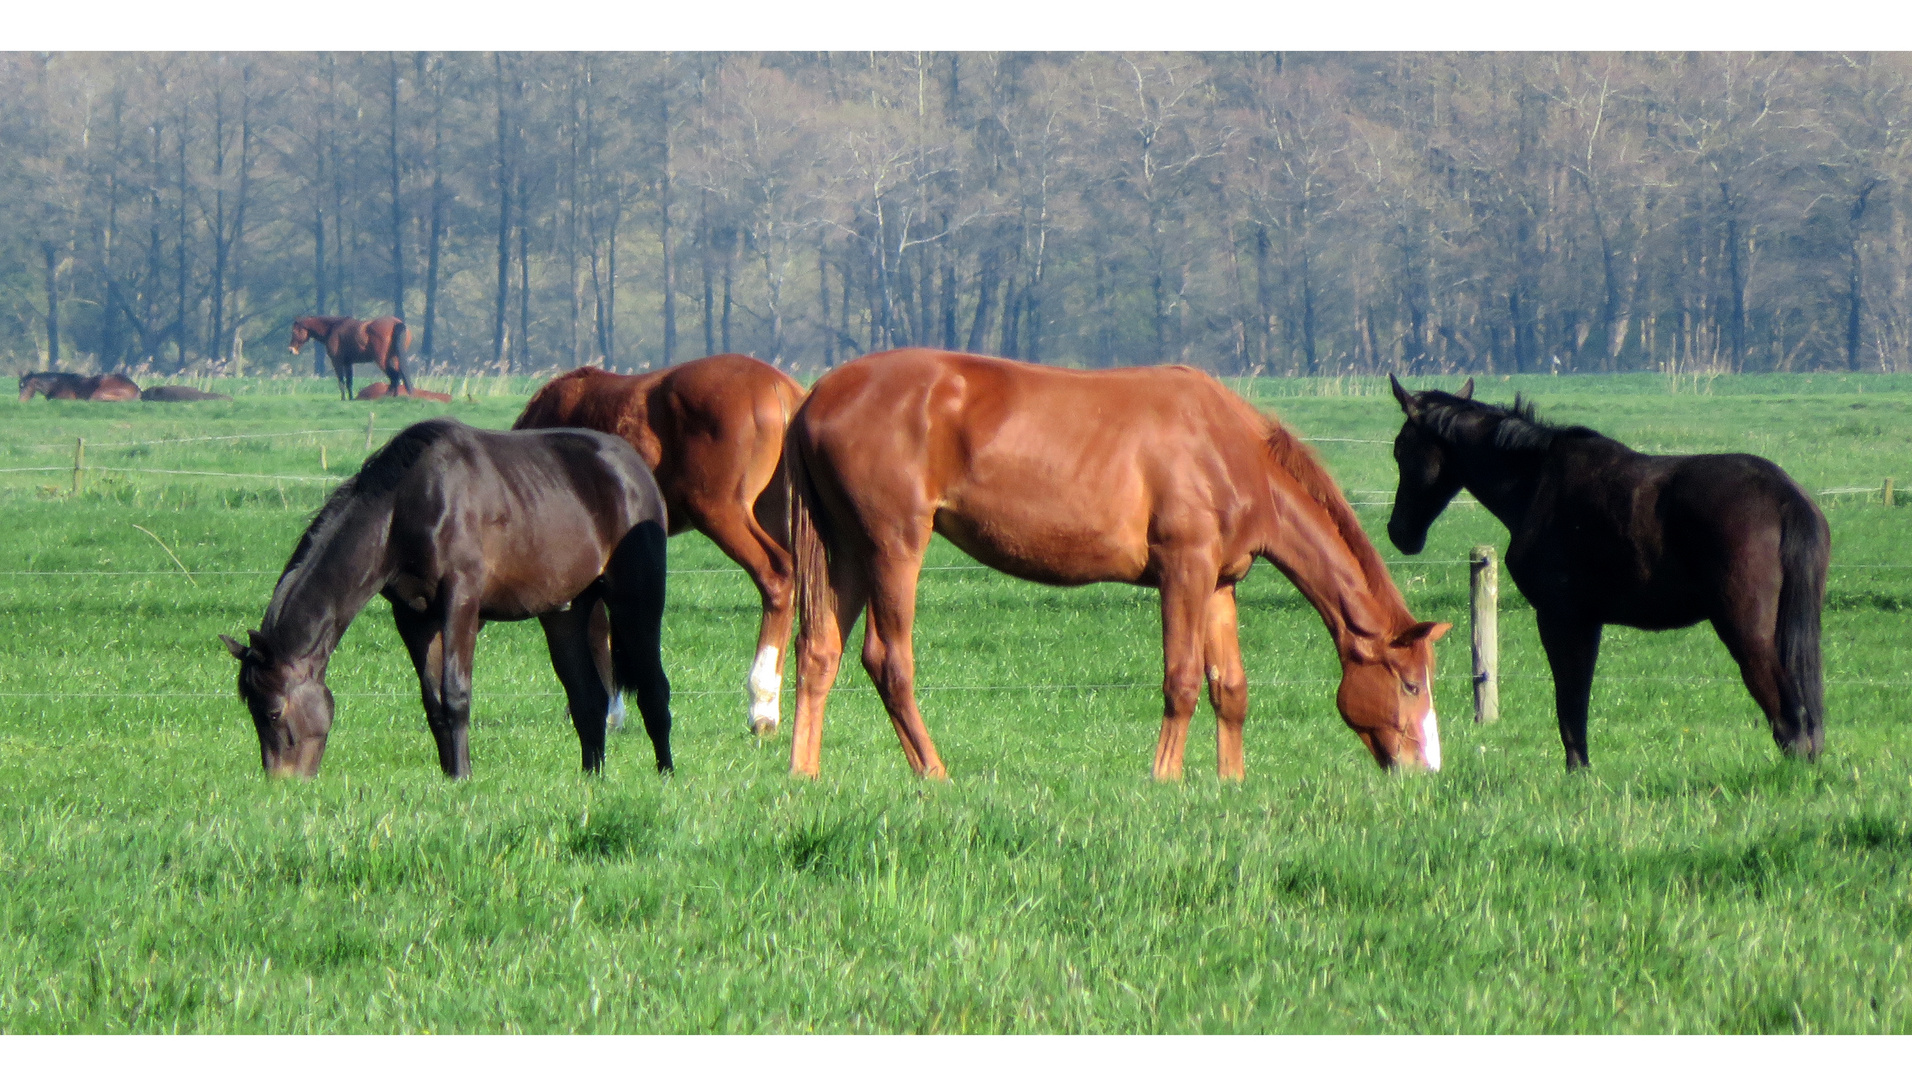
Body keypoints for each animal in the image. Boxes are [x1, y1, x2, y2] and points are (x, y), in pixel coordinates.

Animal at [219, 412, 673, 776]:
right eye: (252, 711)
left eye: (273, 711)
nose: (281, 782)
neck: (404, 506)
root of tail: (633, 466)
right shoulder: (414, 617)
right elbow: (433, 700)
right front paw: (449, 776)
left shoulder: (461, 601)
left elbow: (455, 693)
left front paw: (465, 775)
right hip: (566, 610)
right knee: (588, 697)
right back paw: (592, 777)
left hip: (636, 599)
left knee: (654, 687)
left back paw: (665, 774)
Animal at [512, 353, 803, 734]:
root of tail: (779, 387)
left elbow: (596, 630)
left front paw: (604, 712)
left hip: (721, 514)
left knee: (777, 578)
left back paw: (761, 705)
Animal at [783, 349, 1453, 779]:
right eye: (1410, 683)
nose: (1426, 770)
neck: (1231, 450)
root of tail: (817, 394)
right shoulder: (1184, 572)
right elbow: (1182, 681)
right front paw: (1165, 778)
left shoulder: (1220, 584)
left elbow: (1229, 689)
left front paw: (1230, 783)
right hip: (893, 549)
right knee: (888, 662)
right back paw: (934, 774)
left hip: (847, 552)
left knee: (819, 652)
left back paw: (803, 773)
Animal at [1384, 376, 1827, 764]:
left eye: (1401, 448)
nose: (1398, 532)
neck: (1537, 482)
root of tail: (1783, 496)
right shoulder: (1588, 622)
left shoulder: (1561, 618)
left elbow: (1570, 703)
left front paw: (1577, 771)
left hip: (1746, 631)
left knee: (1788, 718)